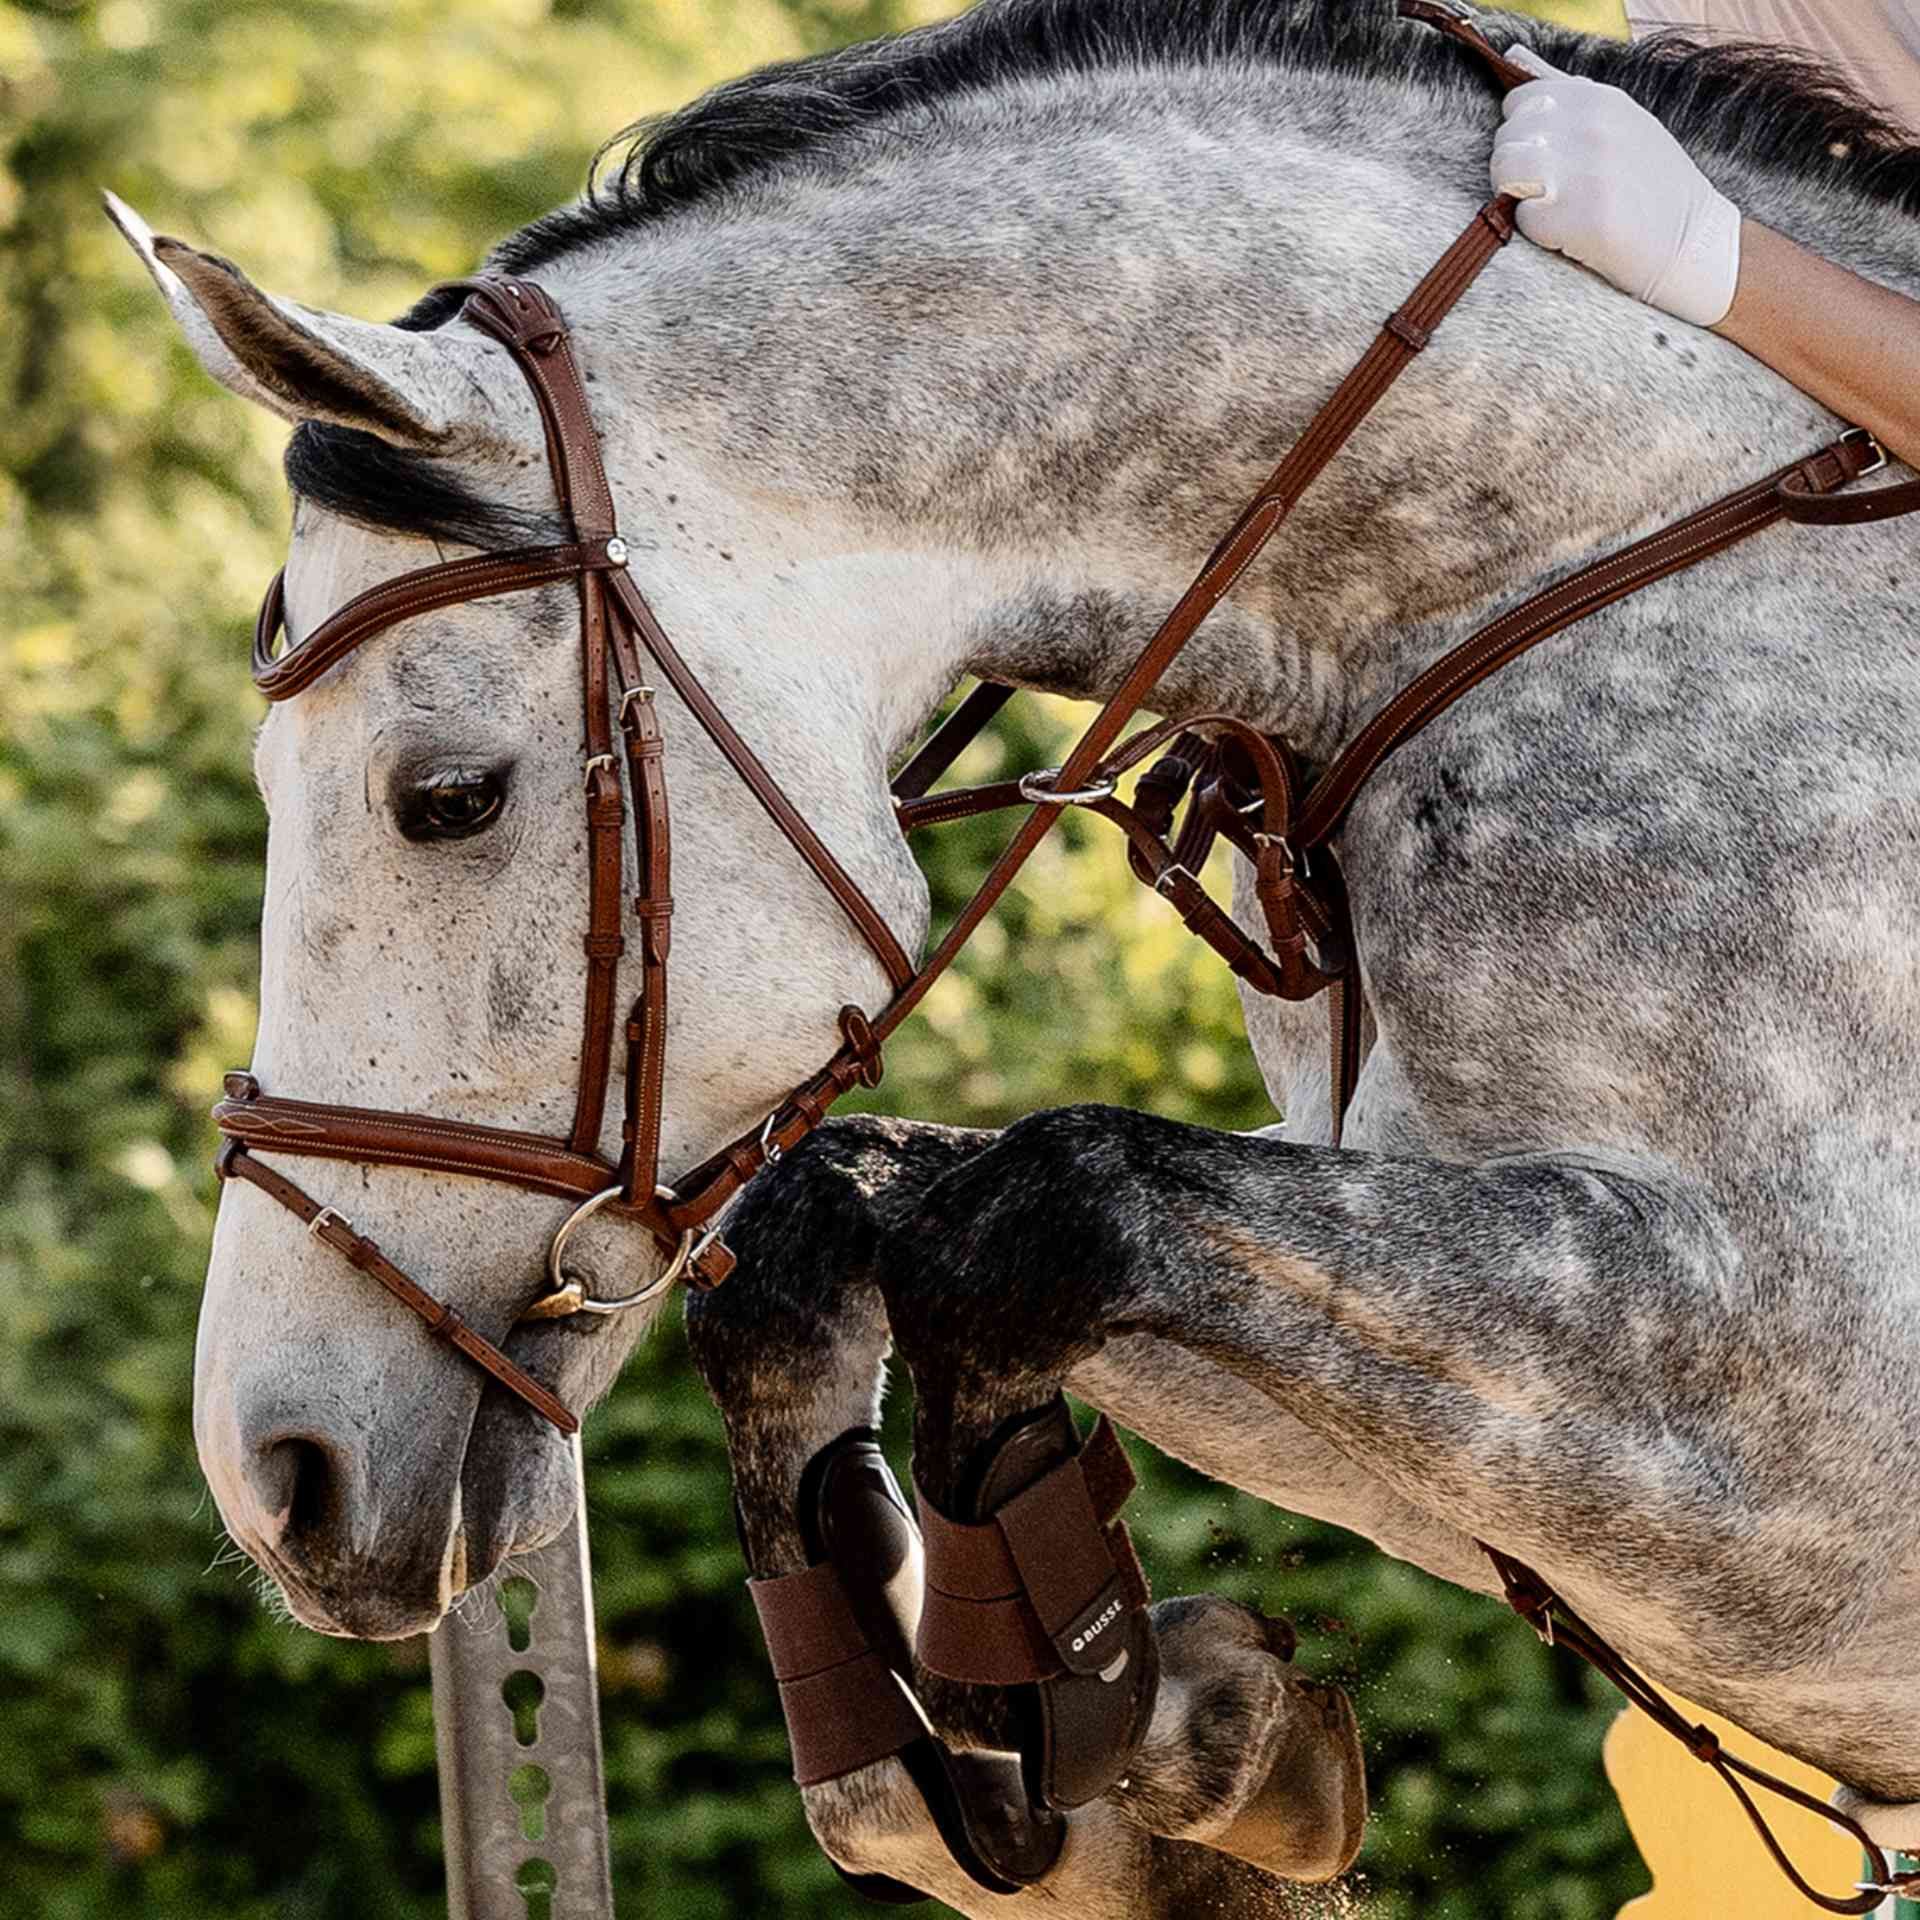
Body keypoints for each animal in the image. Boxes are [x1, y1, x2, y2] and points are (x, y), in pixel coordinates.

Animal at [113, 0, 1920, 1909]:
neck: (1537, 578)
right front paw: (1156, 1745)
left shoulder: (1801, 1435)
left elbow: (1046, 1210)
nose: (279, 1481)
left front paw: (1100, 1708)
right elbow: (850, 1227)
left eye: (446, 800)